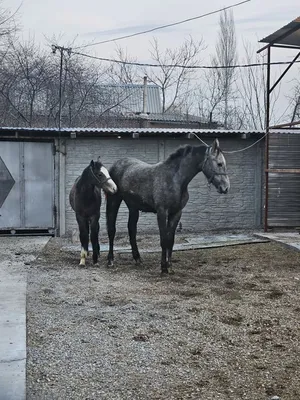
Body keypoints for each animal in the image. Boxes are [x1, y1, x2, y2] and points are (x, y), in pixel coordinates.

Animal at [106, 139, 230, 274]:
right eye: (219, 164)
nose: (226, 187)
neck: (174, 179)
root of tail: (116, 164)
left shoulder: (176, 213)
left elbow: (171, 240)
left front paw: (169, 266)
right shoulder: (162, 212)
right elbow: (164, 240)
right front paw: (163, 267)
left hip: (133, 207)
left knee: (132, 229)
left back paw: (137, 258)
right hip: (113, 201)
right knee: (111, 230)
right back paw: (110, 260)